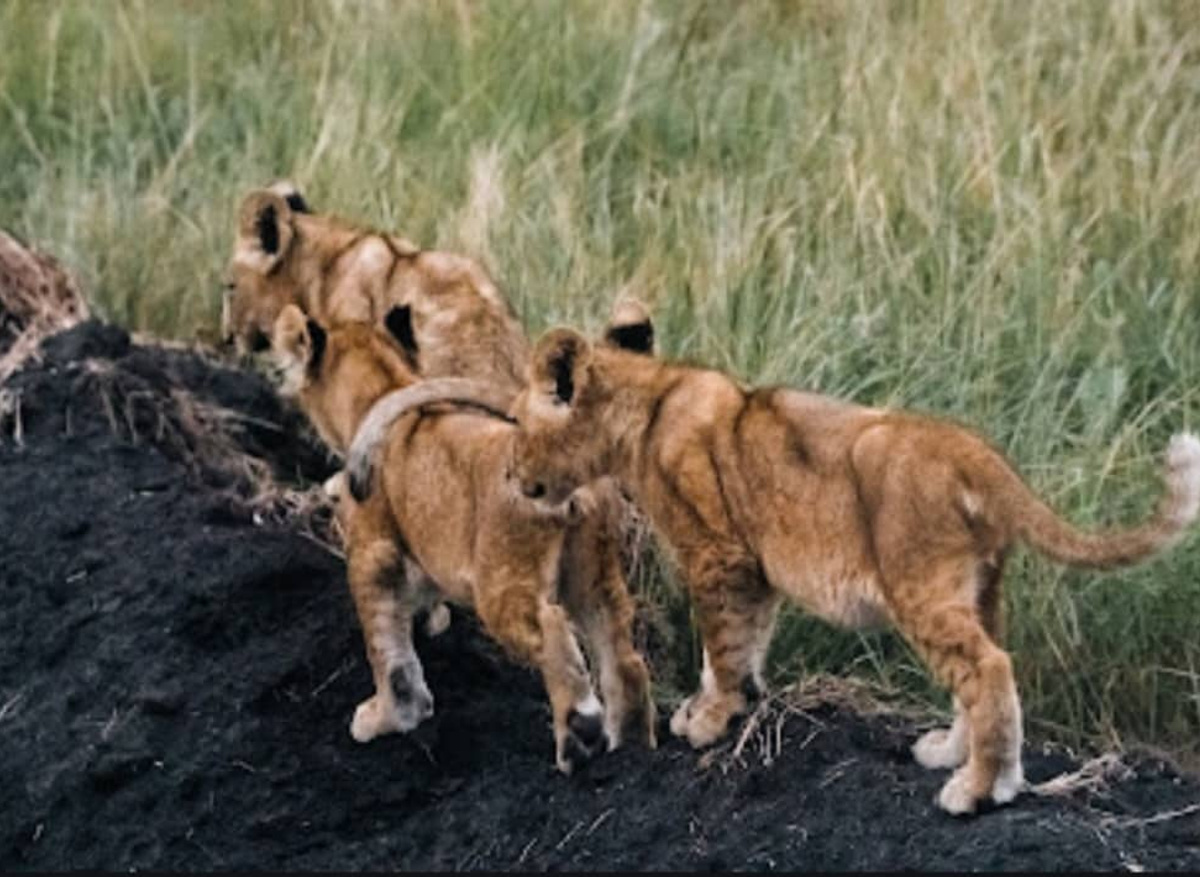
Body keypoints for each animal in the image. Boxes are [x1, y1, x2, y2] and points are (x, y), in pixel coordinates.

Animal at [269, 303, 655, 772]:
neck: (385, 387)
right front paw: (431, 627)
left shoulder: (372, 551)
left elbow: (387, 651)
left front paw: (387, 717)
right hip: (595, 573)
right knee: (626, 661)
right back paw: (632, 749)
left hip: (501, 583)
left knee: (552, 630)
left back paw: (579, 735)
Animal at [354, 306, 1200, 814]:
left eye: (523, 422)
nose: (512, 475)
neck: (643, 407)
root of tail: (976, 454)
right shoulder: (752, 565)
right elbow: (739, 646)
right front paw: (716, 709)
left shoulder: (719, 552)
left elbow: (724, 644)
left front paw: (710, 720)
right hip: (979, 587)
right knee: (981, 670)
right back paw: (949, 754)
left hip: (920, 587)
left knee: (988, 669)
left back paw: (979, 789)